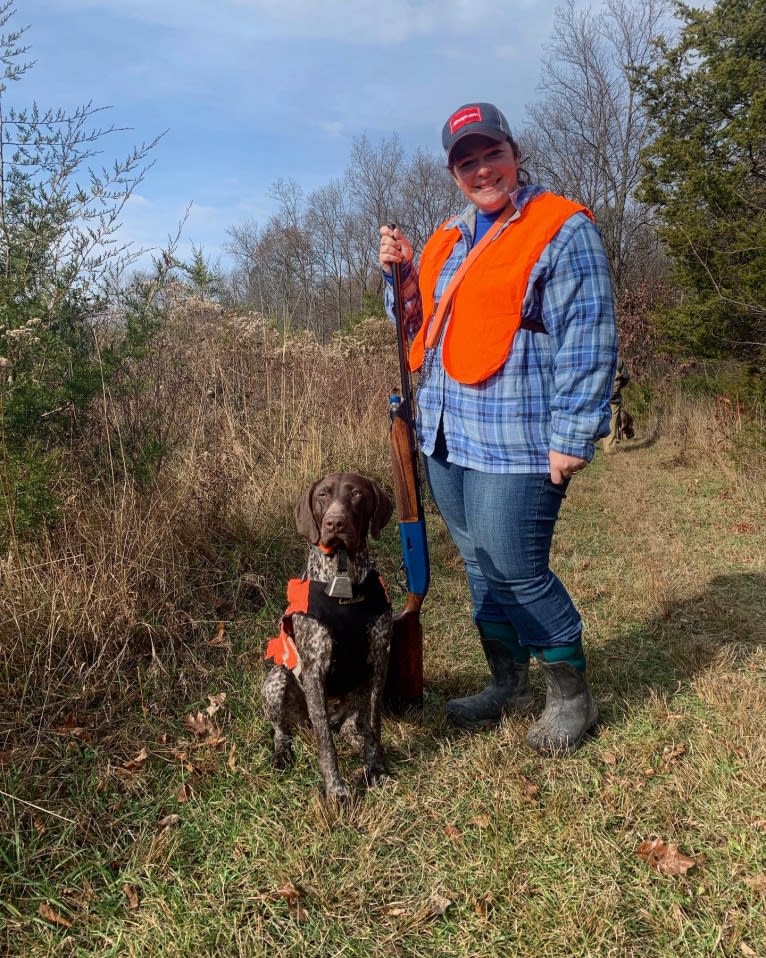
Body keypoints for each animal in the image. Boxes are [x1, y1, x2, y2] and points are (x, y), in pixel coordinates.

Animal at [264, 472, 396, 804]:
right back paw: (282, 753)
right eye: (323, 494)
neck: (342, 571)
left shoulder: (380, 660)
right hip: (275, 680)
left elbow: (374, 726)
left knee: (350, 724)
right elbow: (326, 745)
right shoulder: (314, 670)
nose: (335, 523)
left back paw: (355, 736)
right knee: (283, 729)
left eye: (357, 494)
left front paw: (375, 769)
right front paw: (336, 790)